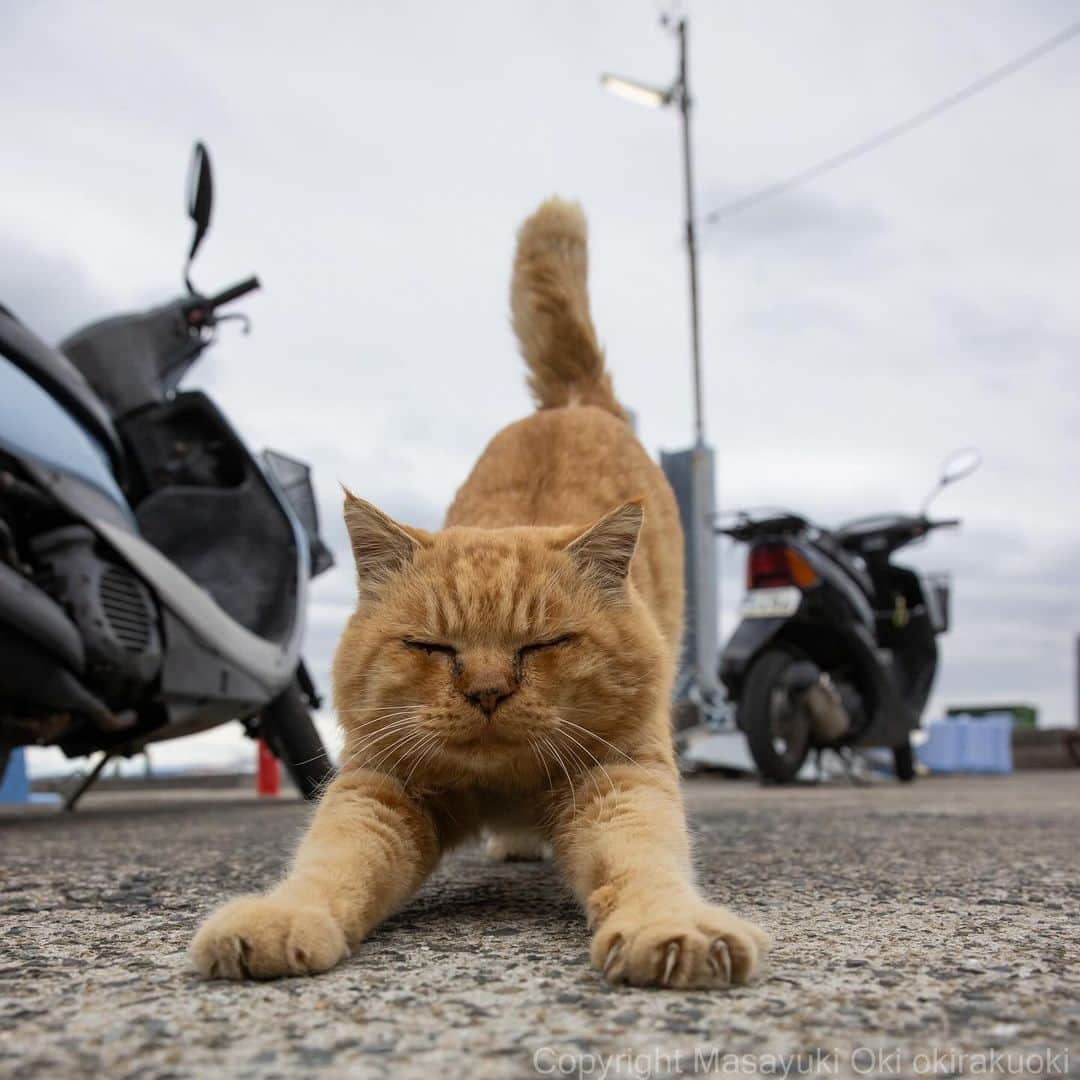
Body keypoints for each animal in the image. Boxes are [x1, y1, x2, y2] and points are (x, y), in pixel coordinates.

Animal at [192, 196, 768, 989]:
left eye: (544, 644)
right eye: (431, 646)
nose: (488, 692)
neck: (503, 783)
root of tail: (571, 401)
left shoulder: (623, 780)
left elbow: (644, 863)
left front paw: (671, 926)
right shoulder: (378, 788)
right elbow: (330, 863)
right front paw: (283, 918)